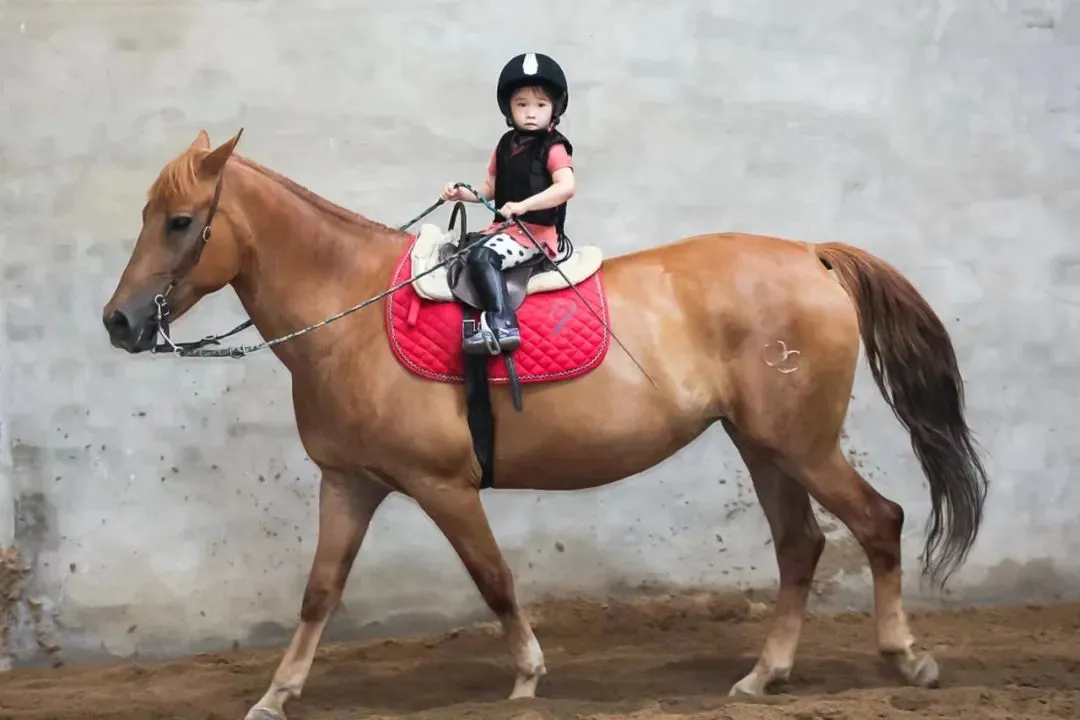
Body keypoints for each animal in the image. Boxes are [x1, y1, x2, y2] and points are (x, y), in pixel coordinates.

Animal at [101, 131, 989, 720]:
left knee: (879, 521)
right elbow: (321, 591)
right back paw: (763, 678)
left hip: (801, 444)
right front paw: (275, 695)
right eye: (145, 214)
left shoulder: (442, 485)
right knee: (801, 546)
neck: (349, 311)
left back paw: (907, 659)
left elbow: (492, 577)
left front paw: (528, 675)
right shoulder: (349, 483)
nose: (119, 323)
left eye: (179, 221)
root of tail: (811, 255)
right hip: (762, 445)